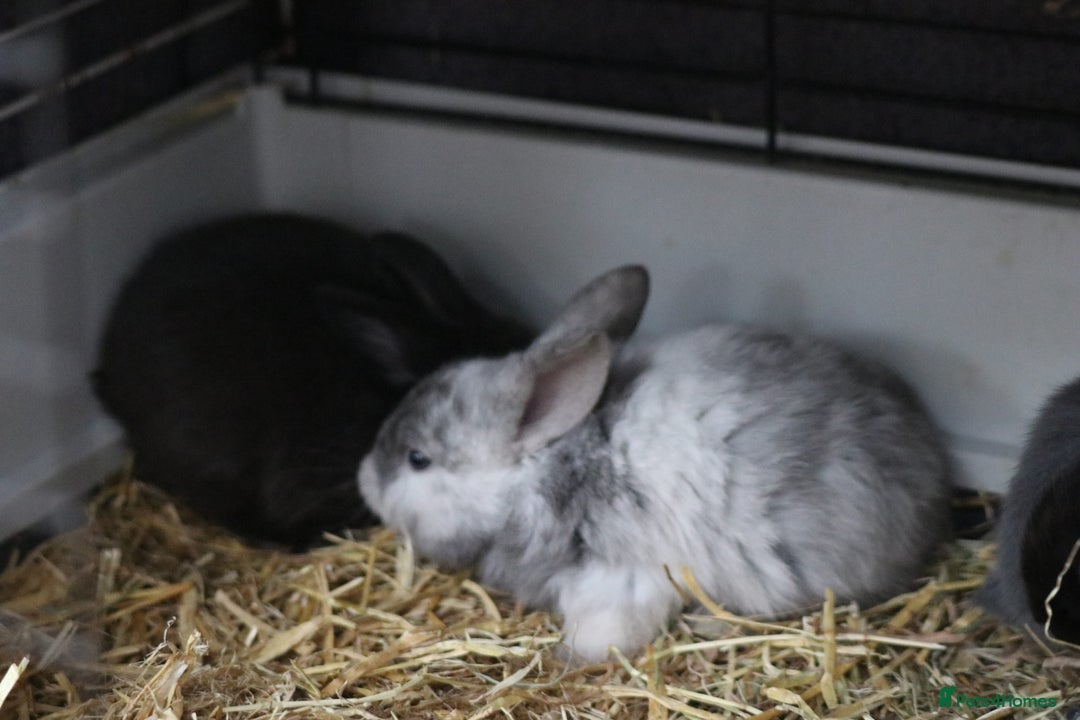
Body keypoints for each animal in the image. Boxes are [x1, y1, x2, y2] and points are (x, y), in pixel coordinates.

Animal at [358, 265, 952, 662]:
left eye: (417, 459)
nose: (365, 480)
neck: (553, 463)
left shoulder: (618, 577)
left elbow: (605, 627)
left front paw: (571, 658)